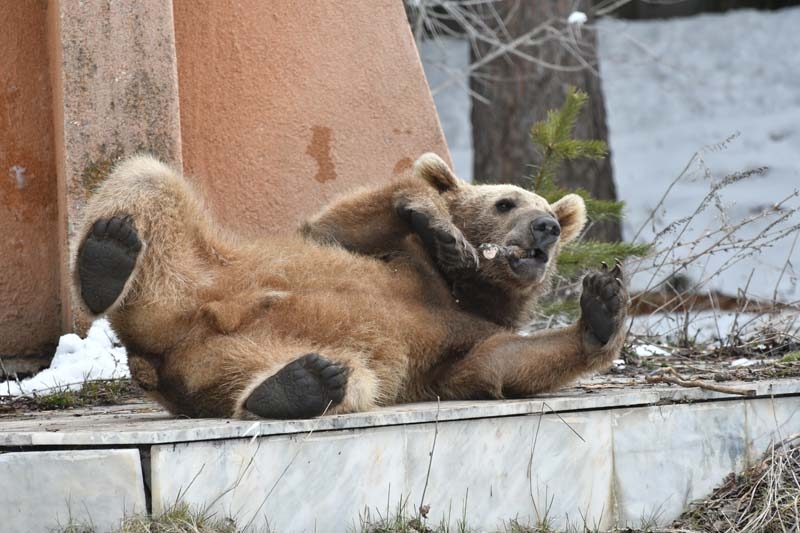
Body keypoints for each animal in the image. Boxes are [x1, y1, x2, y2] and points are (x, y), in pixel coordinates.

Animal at [72, 153, 628, 420]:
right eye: (506, 202)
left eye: (545, 206)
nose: (547, 228)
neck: (466, 289)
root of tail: (159, 352)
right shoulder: (397, 258)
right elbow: (335, 223)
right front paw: (436, 220)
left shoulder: (460, 344)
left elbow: (501, 363)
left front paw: (604, 306)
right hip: (198, 270)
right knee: (148, 178)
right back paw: (106, 254)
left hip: (225, 356)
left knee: (347, 378)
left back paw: (299, 384)